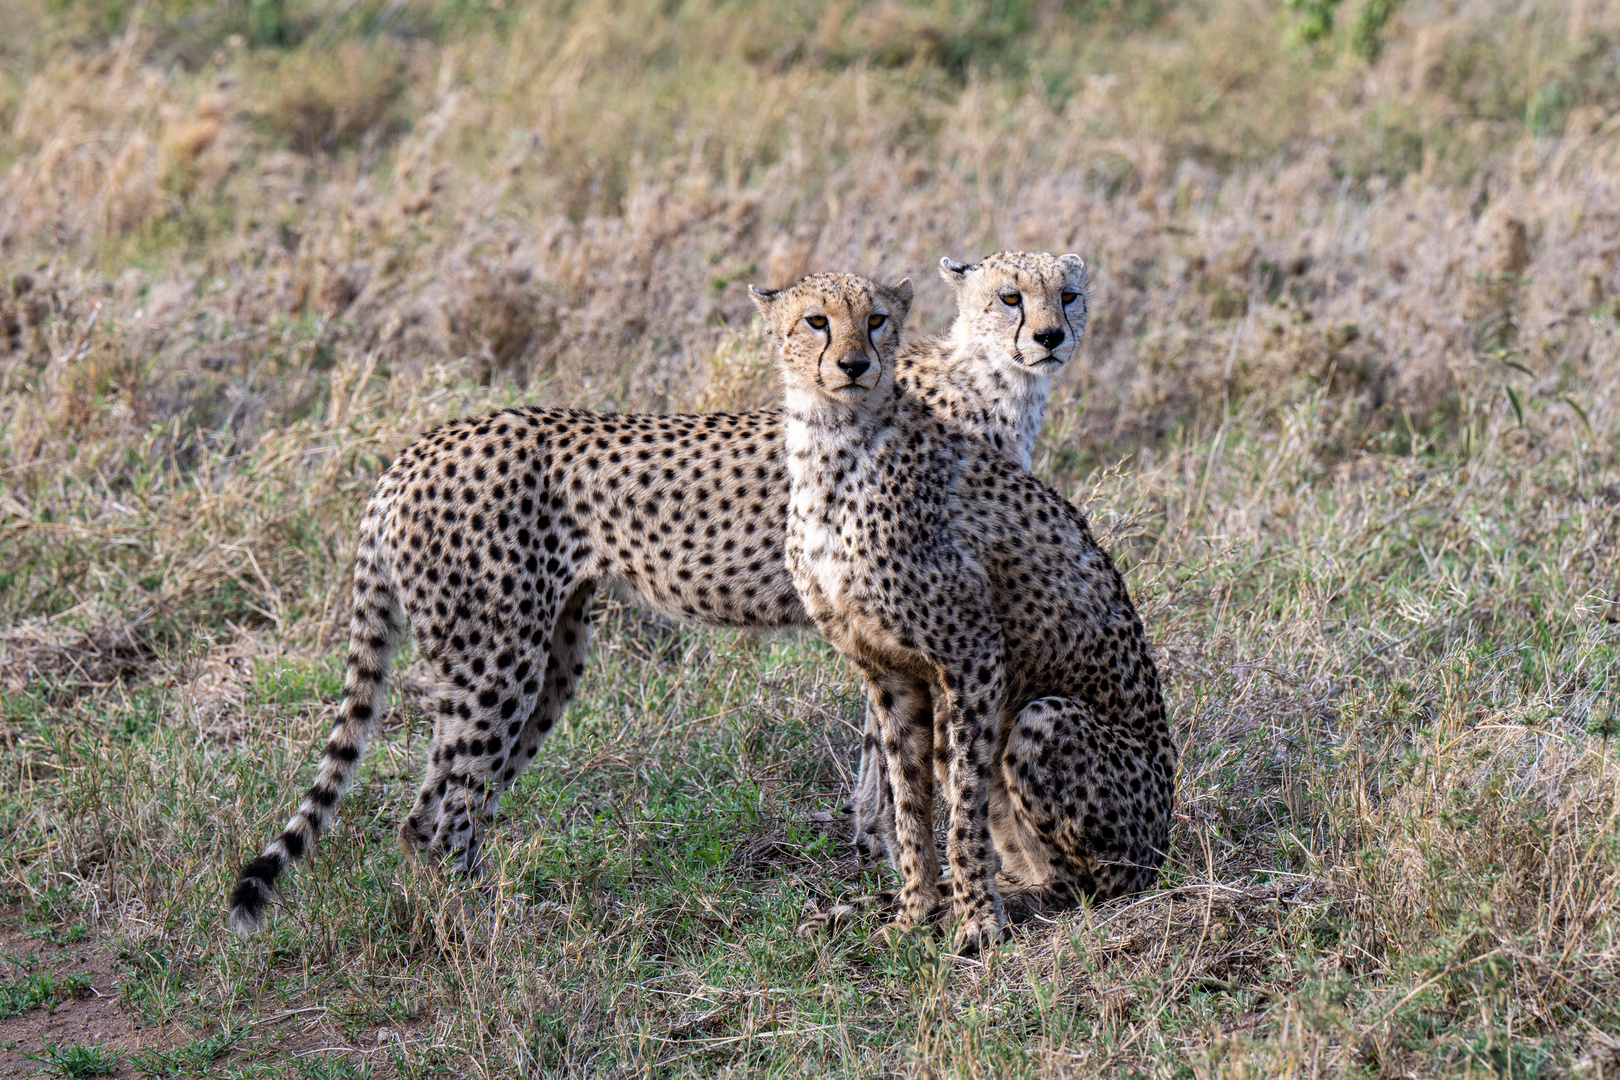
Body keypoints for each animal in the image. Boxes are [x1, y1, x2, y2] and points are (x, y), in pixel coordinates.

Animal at [228, 255, 1088, 939]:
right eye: (1010, 297)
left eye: (1067, 294)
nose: (1049, 336)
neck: (988, 382)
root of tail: (422, 446)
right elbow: (907, 755)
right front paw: (905, 858)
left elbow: (887, 746)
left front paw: (885, 849)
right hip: (496, 660)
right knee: (446, 809)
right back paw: (488, 924)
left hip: (545, 660)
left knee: (430, 811)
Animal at [758, 275, 1179, 952]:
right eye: (816, 321)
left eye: (876, 320)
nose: (854, 365)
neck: (831, 445)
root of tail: (1163, 840)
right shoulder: (888, 670)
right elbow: (908, 800)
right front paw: (913, 913)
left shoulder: (974, 654)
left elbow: (966, 798)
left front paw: (977, 919)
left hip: (1050, 723)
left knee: (1097, 883)